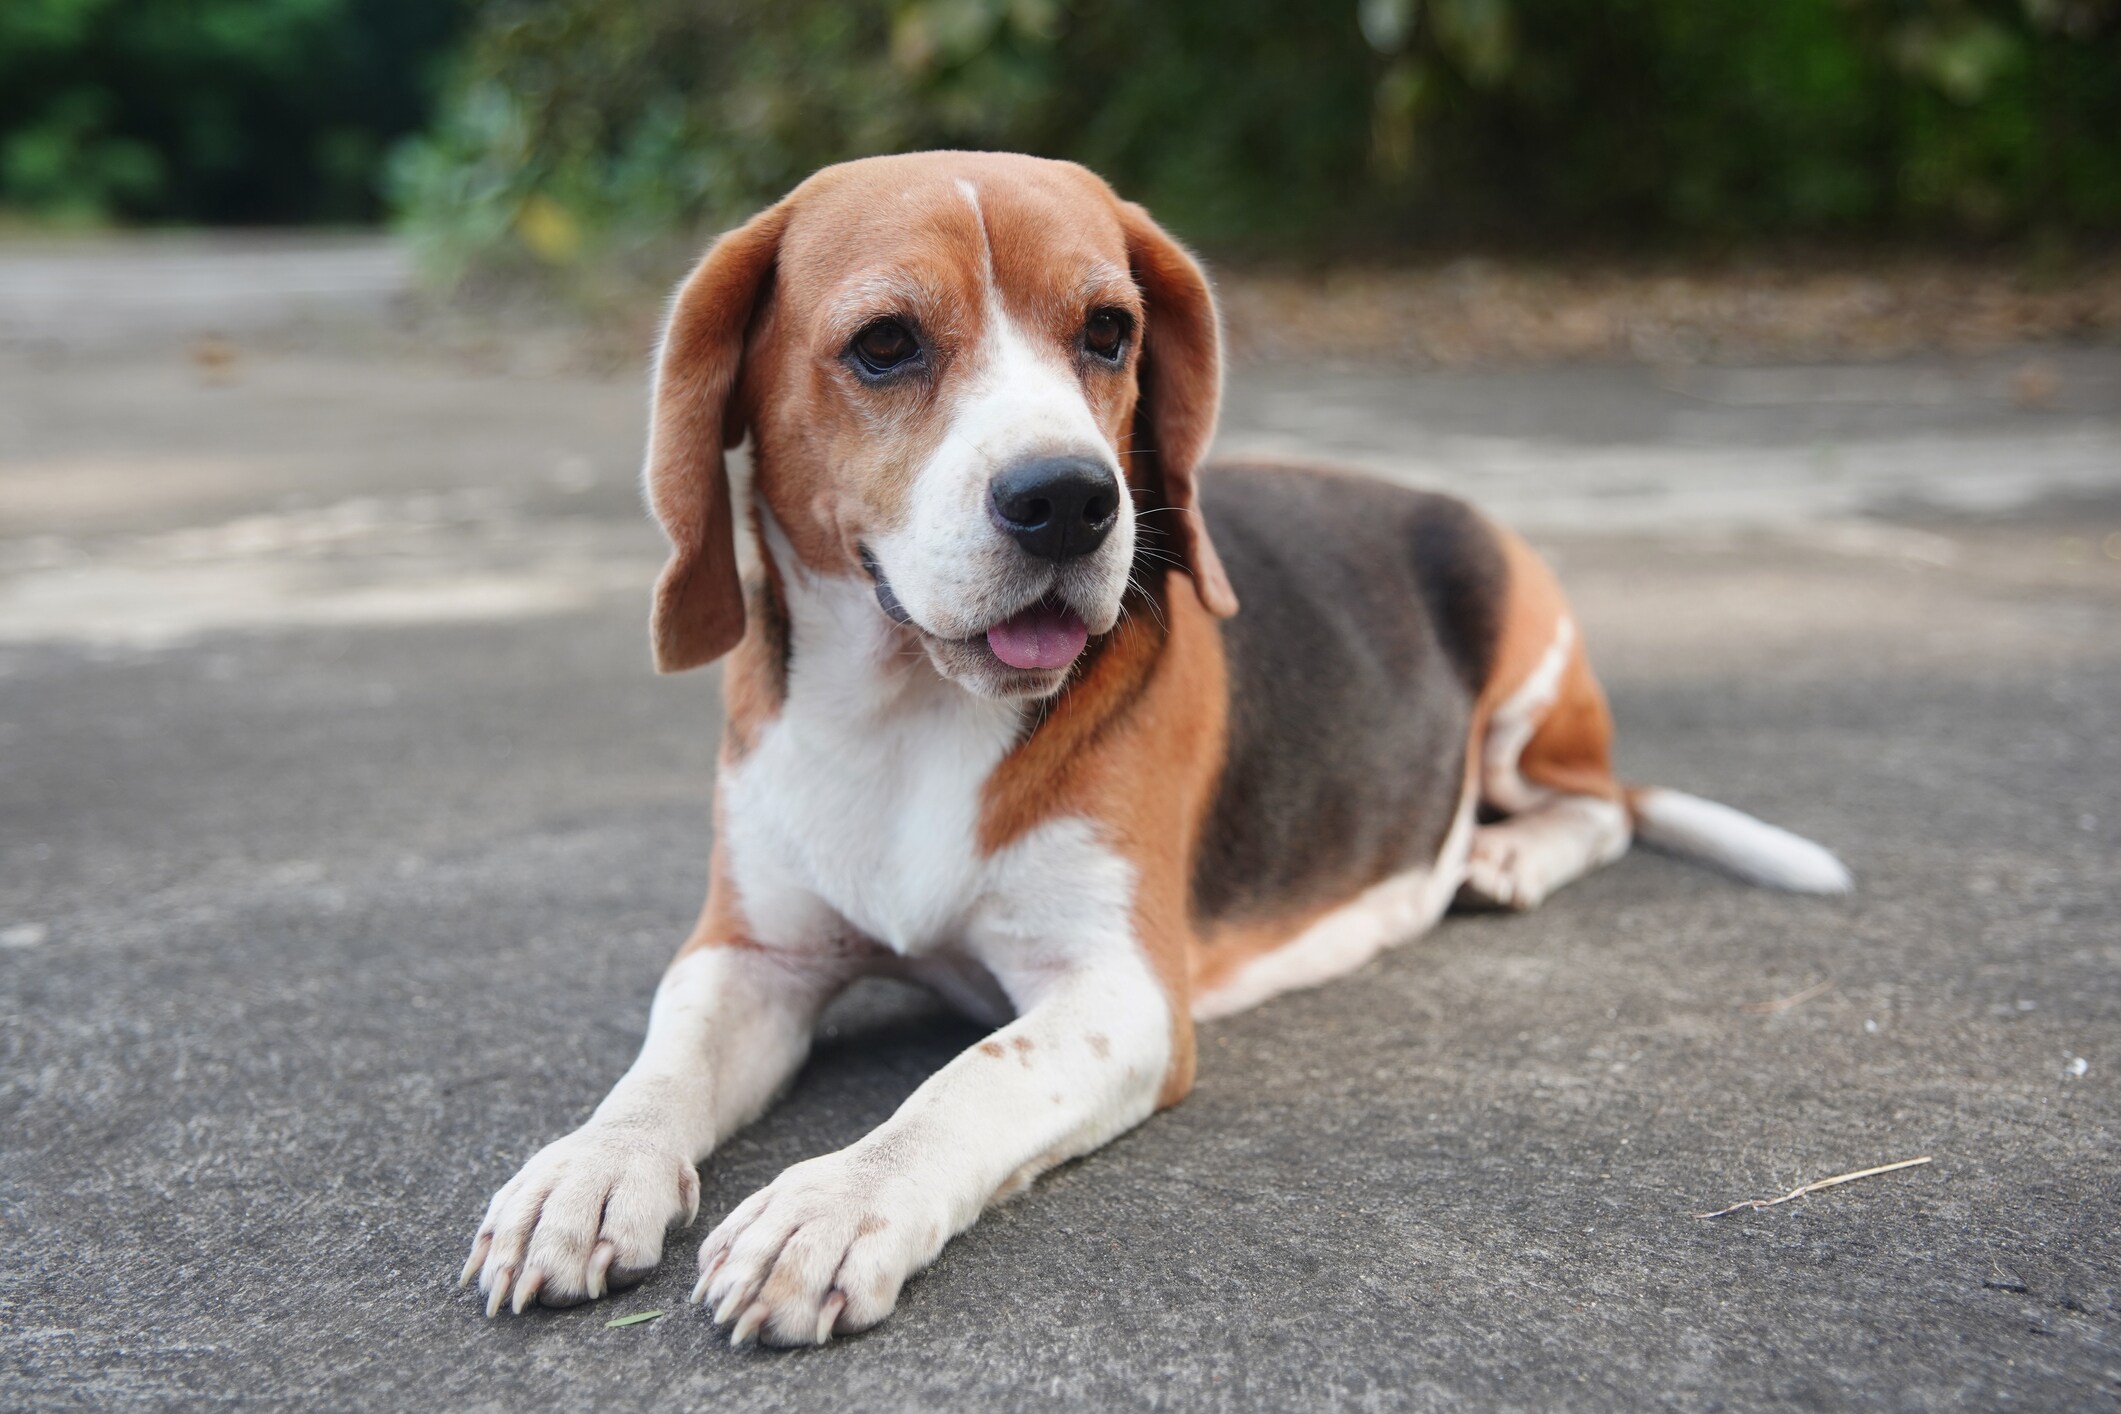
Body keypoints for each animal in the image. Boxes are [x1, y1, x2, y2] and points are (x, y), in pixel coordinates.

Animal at [456, 149, 1849, 1348]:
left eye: (1108, 332)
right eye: (885, 344)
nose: (1070, 499)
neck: (913, 711)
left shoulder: (1116, 996)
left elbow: (964, 1082)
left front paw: (837, 1201)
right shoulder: (750, 952)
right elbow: (661, 1064)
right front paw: (586, 1170)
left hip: (1525, 674)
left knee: (1596, 802)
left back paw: (1505, 859)